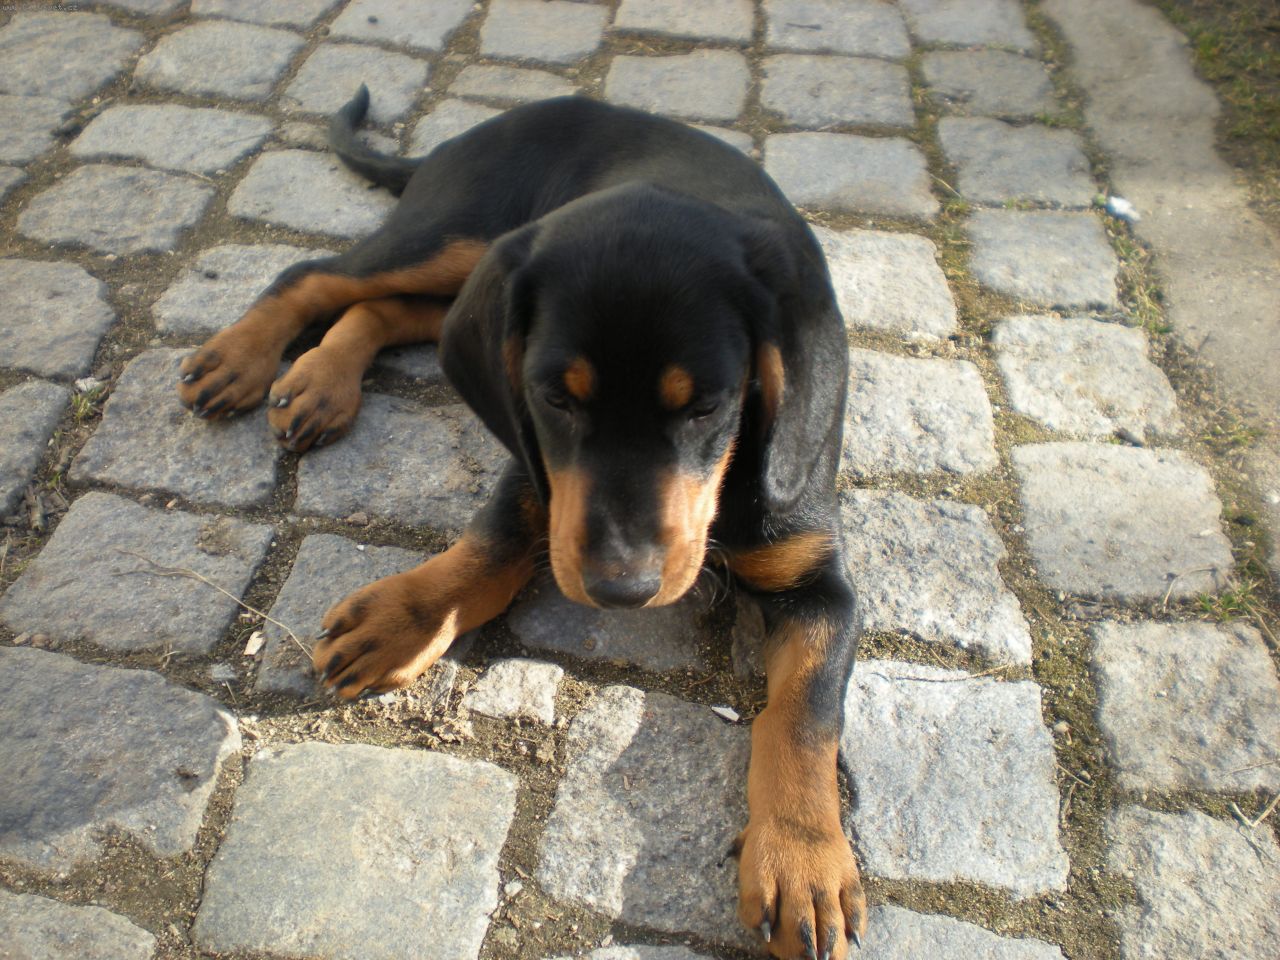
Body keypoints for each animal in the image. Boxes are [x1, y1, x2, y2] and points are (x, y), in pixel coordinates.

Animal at [178, 87, 865, 959]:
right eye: (555, 398)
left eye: (708, 407)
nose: (621, 588)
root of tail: (489, 124)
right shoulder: (534, 457)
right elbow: (495, 541)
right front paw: (401, 619)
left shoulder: (819, 580)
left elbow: (806, 714)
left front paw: (803, 861)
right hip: (461, 238)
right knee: (321, 275)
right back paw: (243, 357)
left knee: (393, 310)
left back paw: (321, 380)